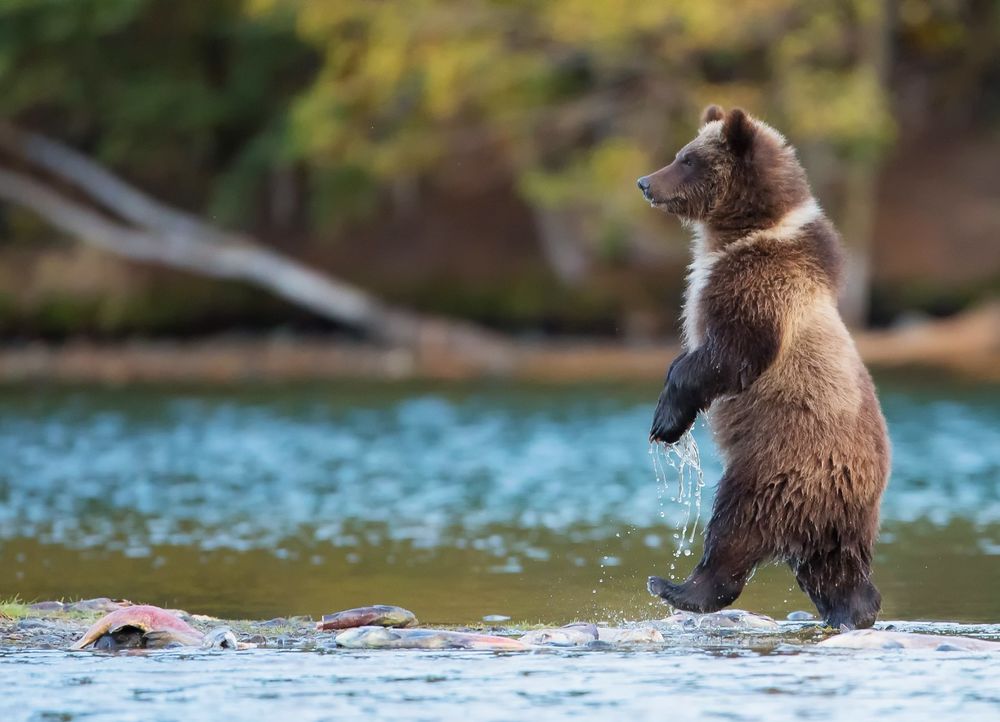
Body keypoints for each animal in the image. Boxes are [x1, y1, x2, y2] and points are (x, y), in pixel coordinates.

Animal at [636, 104, 888, 628]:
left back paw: (676, 587)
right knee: (837, 570)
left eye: (687, 159)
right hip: (840, 520)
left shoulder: (759, 287)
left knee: (735, 528)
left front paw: (666, 421)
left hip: (777, 464)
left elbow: (729, 355)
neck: (746, 233)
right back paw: (853, 612)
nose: (646, 182)